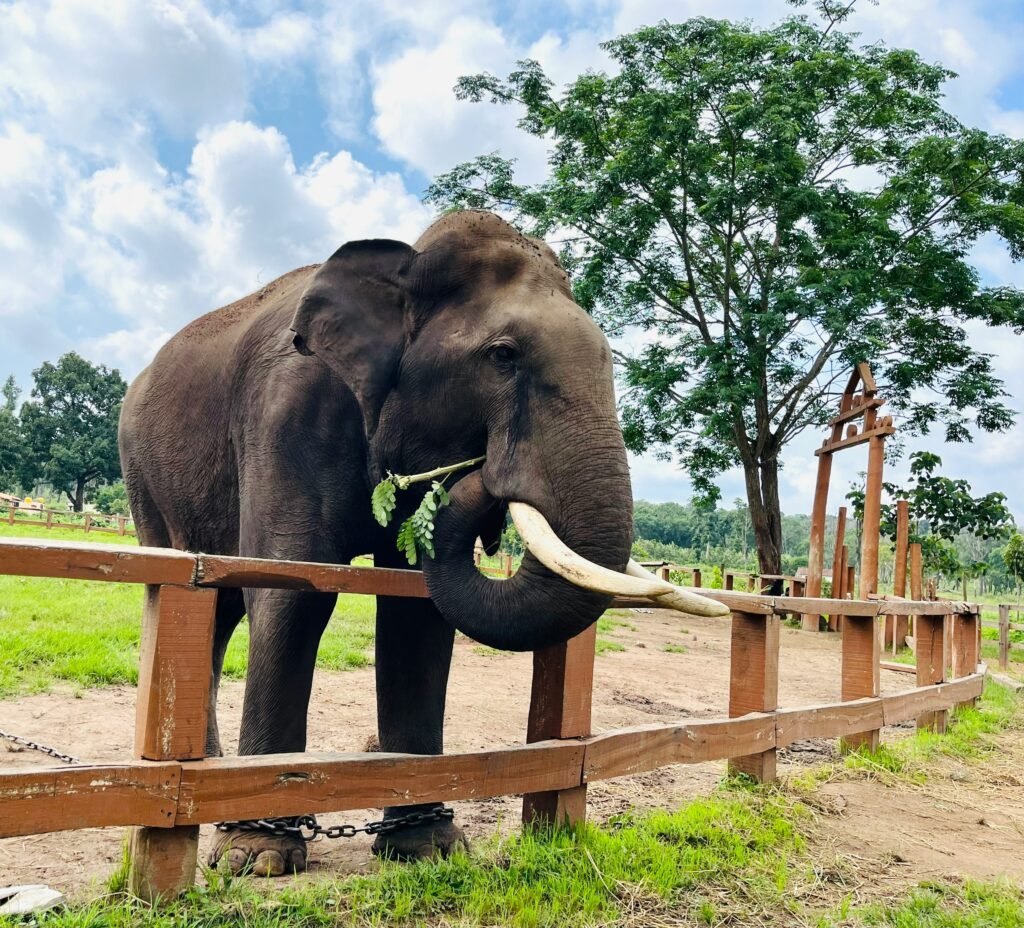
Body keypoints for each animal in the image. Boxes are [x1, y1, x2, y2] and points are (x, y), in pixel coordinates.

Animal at [117, 209, 630, 876]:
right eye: (503, 355)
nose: (483, 473)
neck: (405, 263)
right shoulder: (286, 413)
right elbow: (293, 588)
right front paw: (258, 856)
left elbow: (417, 610)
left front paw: (427, 848)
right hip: (143, 478)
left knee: (219, 609)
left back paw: (207, 774)